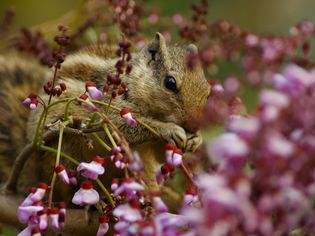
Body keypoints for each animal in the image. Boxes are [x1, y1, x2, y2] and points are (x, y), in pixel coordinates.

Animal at [0, 33, 212, 206]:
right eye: (170, 82)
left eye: (208, 92)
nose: (194, 125)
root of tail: (33, 171)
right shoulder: (112, 110)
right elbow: (125, 127)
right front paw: (169, 129)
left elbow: (161, 154)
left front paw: (196, 139)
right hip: (64, 154)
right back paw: (94, 204)